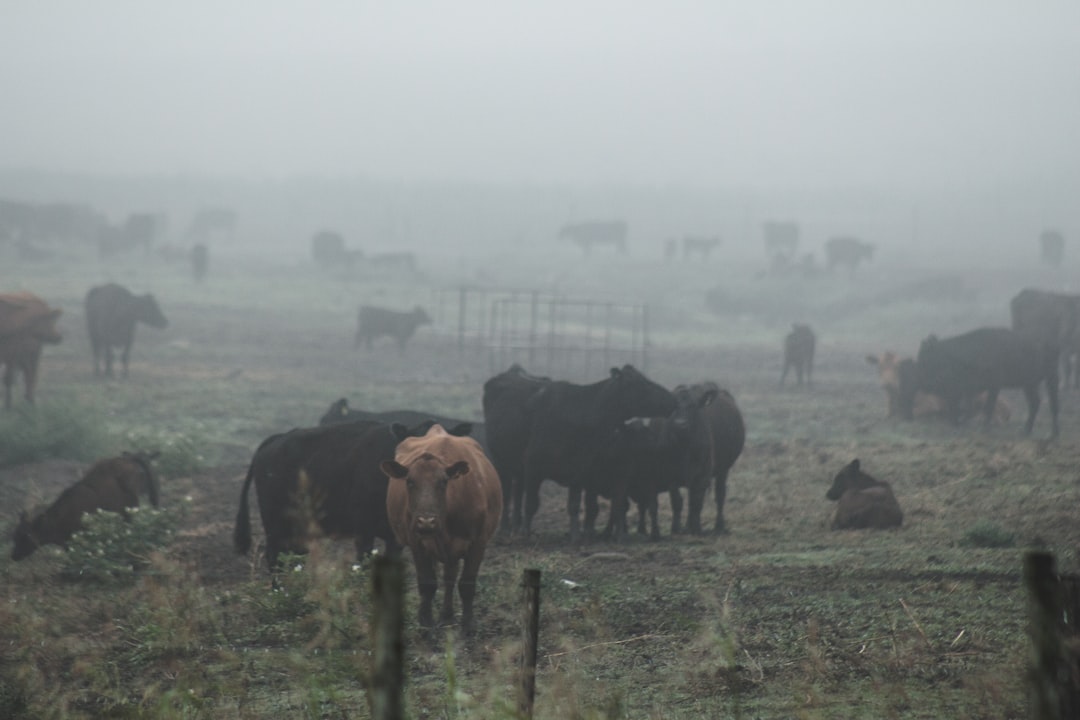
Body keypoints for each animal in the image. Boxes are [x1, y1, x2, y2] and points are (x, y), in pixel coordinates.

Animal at [380, 425, 501, 634]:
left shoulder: (478, 542)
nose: (426, 522)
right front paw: (425, 623)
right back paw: (445, 617)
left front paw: (468, 625)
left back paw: (447, 617)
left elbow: (467, 583)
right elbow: (427, 583)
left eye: (443, 482)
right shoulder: (417, 543)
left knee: (450, 577)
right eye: (409, 481)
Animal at [520, 367, 673, 539]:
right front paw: (525, 534)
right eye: (639, 382)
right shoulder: (532, 467)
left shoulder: (579, 471)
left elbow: (575, 505)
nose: (673, 399)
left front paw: (576, 536)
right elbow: (531, 504)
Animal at [915, 328, 1058, 440]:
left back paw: (1054, 434)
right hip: (1029, 384)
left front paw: (983, 428)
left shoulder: (993, 386)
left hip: (1050, 378)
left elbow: (987, 407)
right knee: (1035, 402)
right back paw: (1026, 431)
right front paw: (963, 423)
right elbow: (969, 408)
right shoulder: (970, 389)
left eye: (925, 358)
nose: (923, 384)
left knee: (1053, 403)